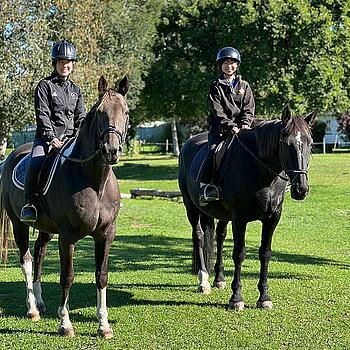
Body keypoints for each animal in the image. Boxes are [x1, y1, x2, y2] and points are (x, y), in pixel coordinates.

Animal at [0, 75, 129, 338]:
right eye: (100, 114)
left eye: (127, 113)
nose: (111, 151)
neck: (93, 181)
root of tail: (11, 157)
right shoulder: (67, 236)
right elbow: (67, 277)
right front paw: (65, 324)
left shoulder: (106, 235)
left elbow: (101, 276)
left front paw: (104, 325)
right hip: (19, 225)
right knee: (26, 260)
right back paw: (32, 310)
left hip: (46, 229)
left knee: (39, 254)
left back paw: (39, 302)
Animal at [179, 106, 316, 308]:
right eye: (286, 143)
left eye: (310, 143)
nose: (301, 189)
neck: (261, 172)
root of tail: (188, 143)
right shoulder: (239, 218)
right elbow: (239, 254)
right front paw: (236, 298)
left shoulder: (272, 218)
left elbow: (265, 253)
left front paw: (264, 297)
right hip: (191, 207)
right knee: (199, 237)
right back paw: (203, 281)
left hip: (221, 214)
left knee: (219, 236)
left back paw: (219, 279)